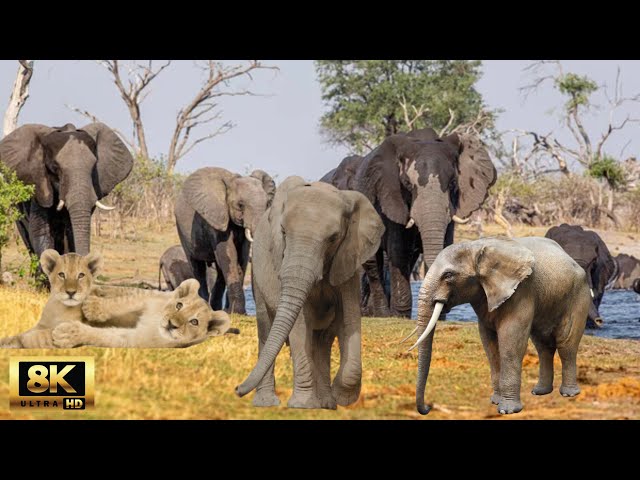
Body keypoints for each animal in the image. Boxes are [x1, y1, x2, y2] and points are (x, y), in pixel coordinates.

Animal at [175, 167, 276, 314]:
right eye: (240, 205)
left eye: (268, 204)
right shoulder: (217, 216)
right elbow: (228, 254)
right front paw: (236, 312)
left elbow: (242, 257)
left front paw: (235, 312)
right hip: (182, 231)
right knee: (197, 267)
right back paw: (205, 307)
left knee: (219, 270)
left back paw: (217, 308)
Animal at [235, 177, 384, 408]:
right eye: (283, 232)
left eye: (333, 238)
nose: (236, 390)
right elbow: (300, 324)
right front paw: (303, 405)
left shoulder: (348, 261)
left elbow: (349, 320)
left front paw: (341, 398)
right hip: (258, 278)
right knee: (267, 329)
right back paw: (267, 403)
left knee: (322, 340)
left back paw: (327, 403)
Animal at [322, 127, 498, 318]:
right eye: (407, 183)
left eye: (453, 183)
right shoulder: (390, 196)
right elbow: (399, 250)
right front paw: (400, 316)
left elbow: (444, 246)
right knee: (373, 264)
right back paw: (382, 314)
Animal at [408, 237, 592, 416]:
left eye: (448, 275)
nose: (428, 408)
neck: (477, 246)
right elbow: (489, 345)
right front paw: (496, 401)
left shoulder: (521, 292)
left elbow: (510, 344)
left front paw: (507, 410)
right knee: (543, 345)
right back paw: (540, 392)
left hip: (578, 297)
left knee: (566, 344)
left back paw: (568, 394)